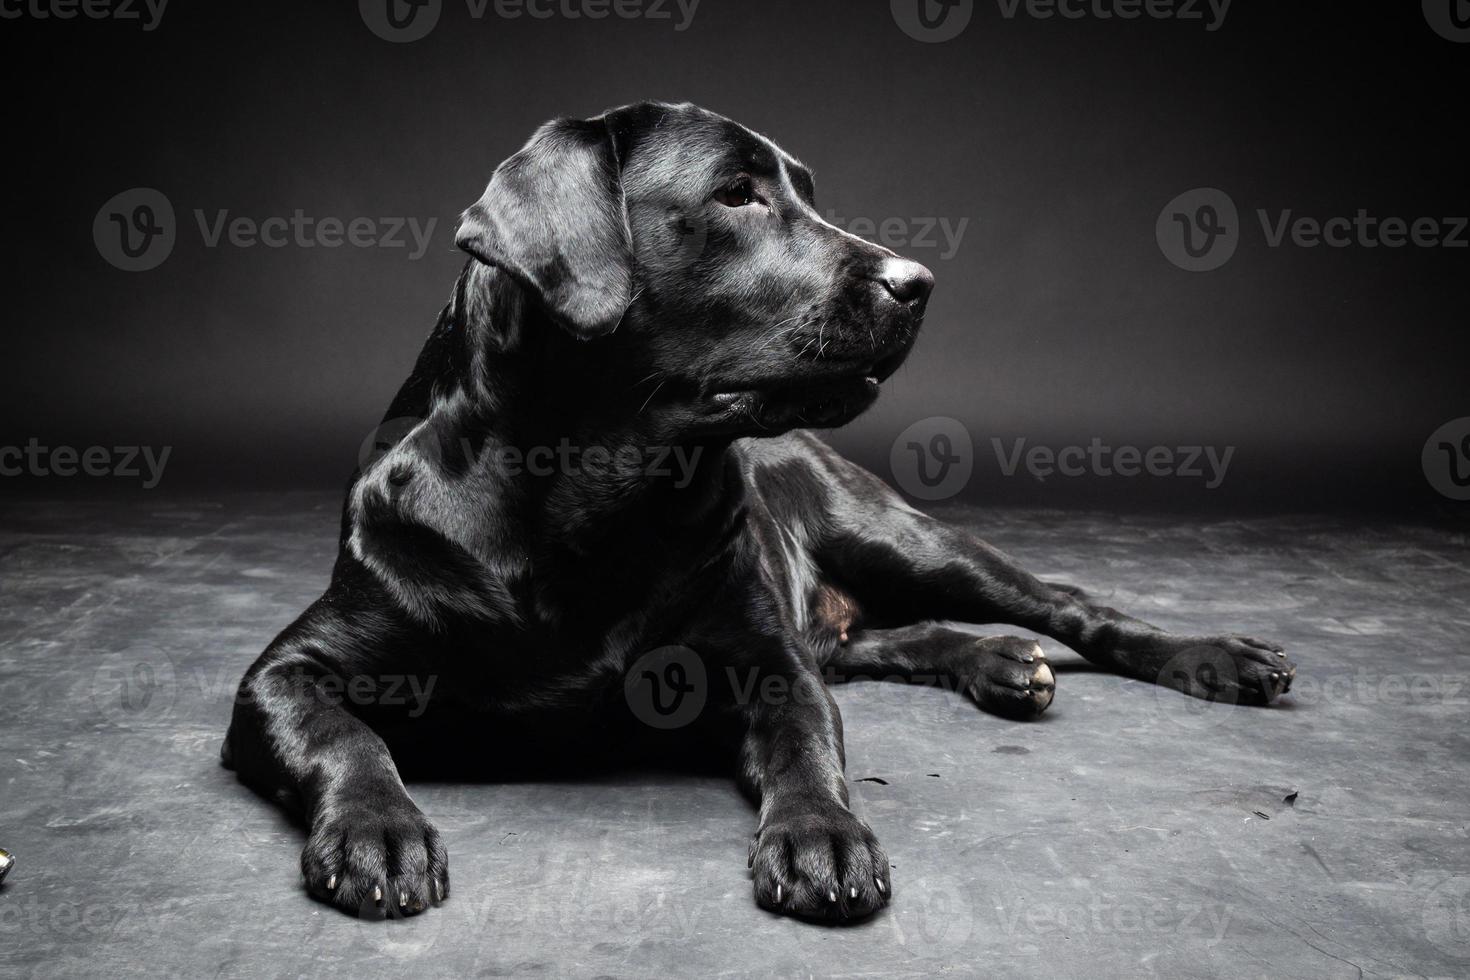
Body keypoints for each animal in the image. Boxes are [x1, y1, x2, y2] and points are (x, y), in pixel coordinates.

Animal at [220, 103, 1299, 922]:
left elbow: (806, 742)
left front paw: (823, 834)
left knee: (1066, 602)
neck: (588, 492)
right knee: (882, 640)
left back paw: (1210, 657)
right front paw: (379, 828)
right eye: (735, 195)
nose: (919, 281)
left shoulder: (764, 660)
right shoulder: (284, 673)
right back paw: (996, 661)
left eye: (809, 195)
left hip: (900, 536)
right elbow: (348, 737)